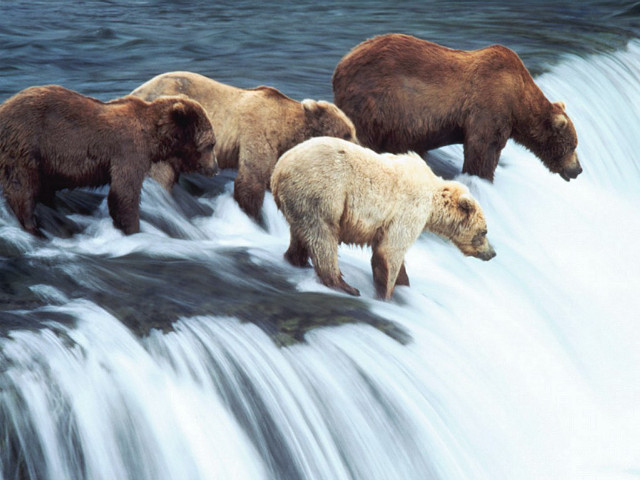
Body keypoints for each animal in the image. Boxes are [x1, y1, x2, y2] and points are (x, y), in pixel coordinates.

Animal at [0, 85, 217, 237]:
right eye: (210, 144)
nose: (215, 168)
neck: (154, 137)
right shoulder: (128, 151)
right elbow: (123, 194)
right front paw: (133, 229)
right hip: (25, 145)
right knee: (22, 187)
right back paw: (33, 227)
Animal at [130, 71, 358, 221]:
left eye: (353, 130)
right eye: (347, 133)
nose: (361, 148)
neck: (288, 132)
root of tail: (136, 92)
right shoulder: (259, 133)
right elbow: (251, 180)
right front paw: (252, 216)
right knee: (161, 174)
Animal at [271, 136, 496, 300]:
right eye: (483, 231)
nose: (492, 253)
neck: (433, 201)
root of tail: (277, 170)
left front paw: (404, 283)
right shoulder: (409, 210)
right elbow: (390, 251)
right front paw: (387, 294)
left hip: (300, 202)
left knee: (301, 234)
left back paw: (297, 260)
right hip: (322, 194)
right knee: (323, 237)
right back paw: (344, 285)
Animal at [332, 33, 582, 182]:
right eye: (572, 145)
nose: (578, 169)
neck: (518, 99)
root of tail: (342, 62)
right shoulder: (490, 104)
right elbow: (483, 149)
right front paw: (482, 177)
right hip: (375, 100)